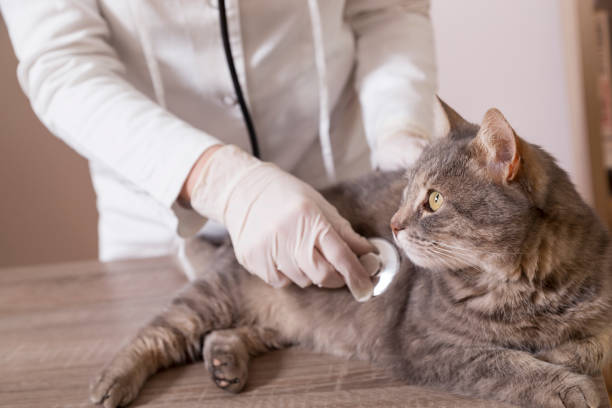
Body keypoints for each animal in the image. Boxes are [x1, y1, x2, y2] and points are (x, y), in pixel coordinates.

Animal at [88, 99, 608, 408]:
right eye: (406, 192)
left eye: (434, 199)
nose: (394, 225)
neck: (525, 289)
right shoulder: (427, 345)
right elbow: (507, 363)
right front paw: (568, 385)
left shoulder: (602, 313)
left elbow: (590, 345)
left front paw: (565, 355)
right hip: (213, 297)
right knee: (157, 334)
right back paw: (110, 382)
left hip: (278, 322)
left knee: (224, 334)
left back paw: (224, 365)